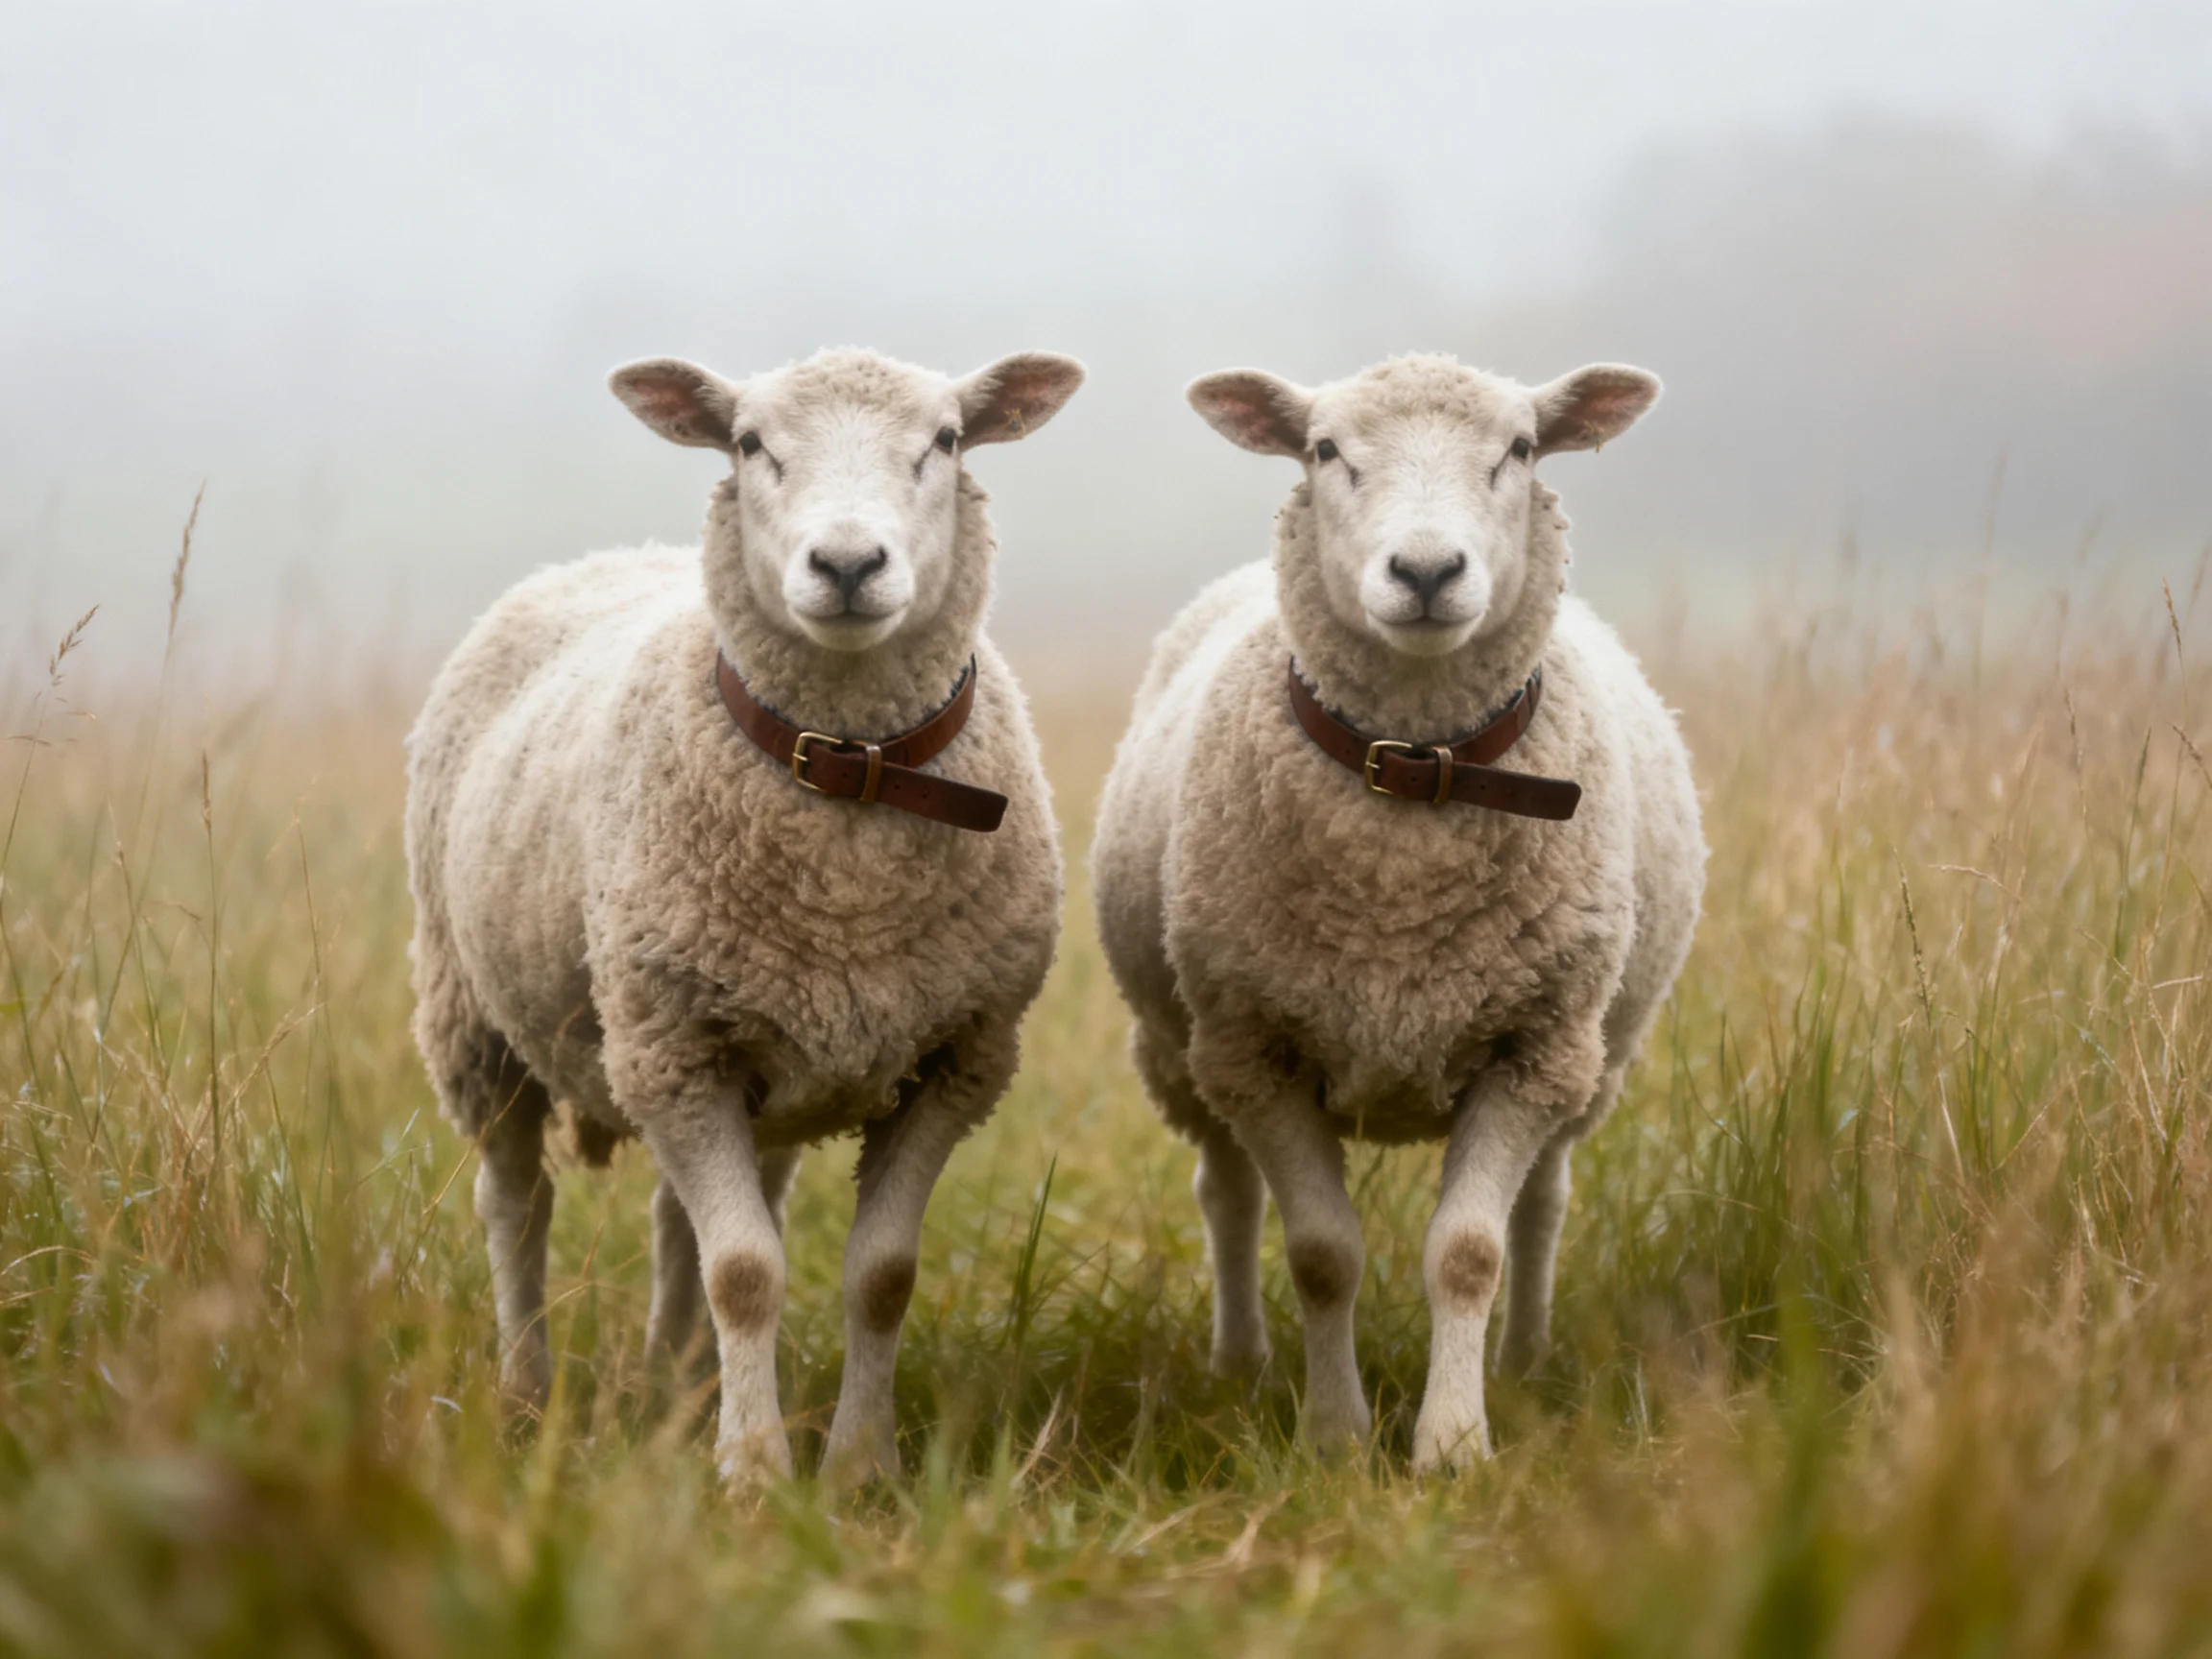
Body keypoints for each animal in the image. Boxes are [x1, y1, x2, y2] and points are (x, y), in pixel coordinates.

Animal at [406, 345, 1084, 1489]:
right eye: (750, 442)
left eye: (945, 440)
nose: (848, 565)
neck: (849, 781)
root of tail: (604, 556)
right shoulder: (673, 1047)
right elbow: (744, 1274)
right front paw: (755, 1473)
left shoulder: (956, 1058)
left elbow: (879, 1274)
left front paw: (859, 1467)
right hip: (477, 1022)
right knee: (517, 1206)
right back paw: (527, 1393)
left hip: (754, 1055)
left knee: (678, 1215)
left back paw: (677, 1389)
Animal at [1090, 353, 1704, 1472]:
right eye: (1325, 449)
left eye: (1520, 449)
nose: (1424, 573)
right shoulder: (1257, 1048)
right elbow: (1323, 1254)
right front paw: (1335, 1440)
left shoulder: (1533, 1046)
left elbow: (1468, 1253)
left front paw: (1452, 1446)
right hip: (1185, 1052)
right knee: (1226, 1195)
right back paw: (1238, 1367)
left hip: (1590, 1057)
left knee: (1544, 1201)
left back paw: (1526, 1361)